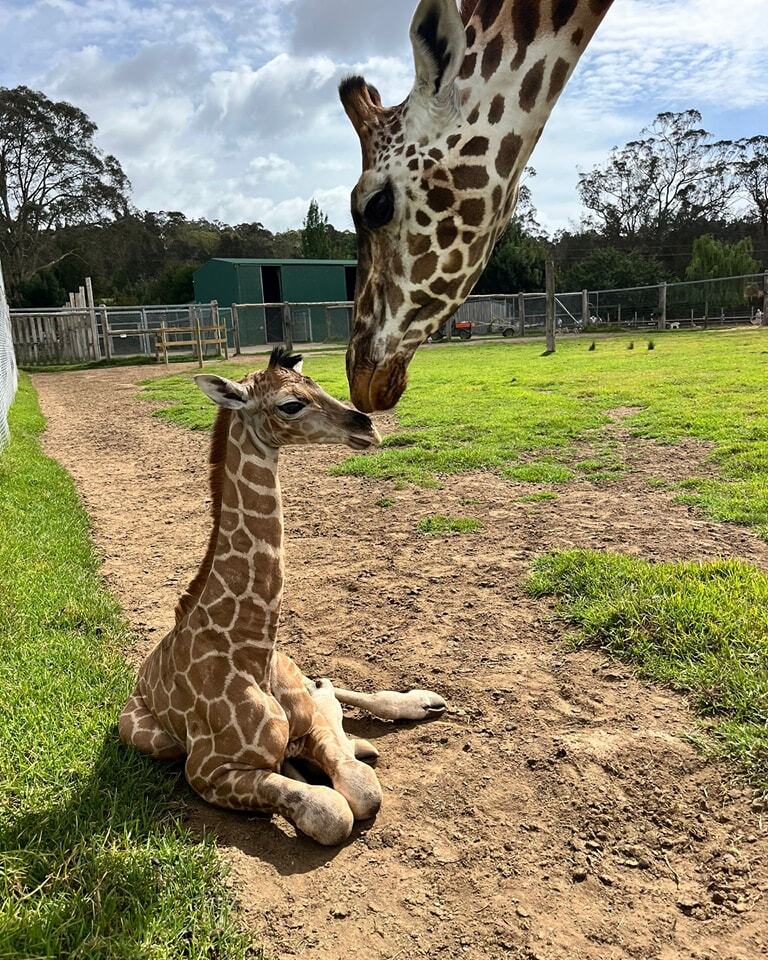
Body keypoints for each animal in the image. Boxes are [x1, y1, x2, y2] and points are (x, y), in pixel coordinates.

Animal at [118, 348, 444, 844]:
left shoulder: (307, 725)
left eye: (317, 384)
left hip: (295, 670)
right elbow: (333, 811)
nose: (366, 427)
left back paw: (418, 702)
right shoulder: (207, 772)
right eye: (291, 405)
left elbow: (362, 790)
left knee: (325, 686)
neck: (253, 647)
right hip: (143, 735)